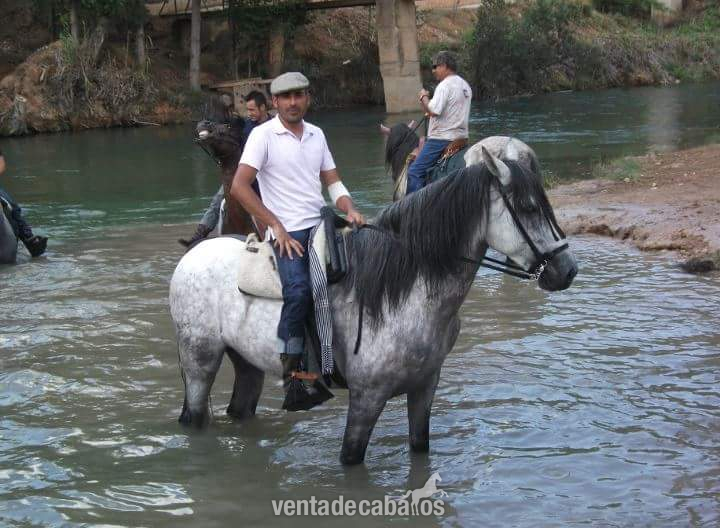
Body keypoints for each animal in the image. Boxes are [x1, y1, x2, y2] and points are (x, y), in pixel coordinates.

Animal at [169, 143, 578, 465]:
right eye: (528, 207)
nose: (567, 270)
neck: (409, 292)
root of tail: (192, 256)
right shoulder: (367, 398)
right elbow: (352, 457)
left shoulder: (424, 387)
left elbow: (419, 447)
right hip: (199, 359)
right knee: (193, 416)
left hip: (247, 362)